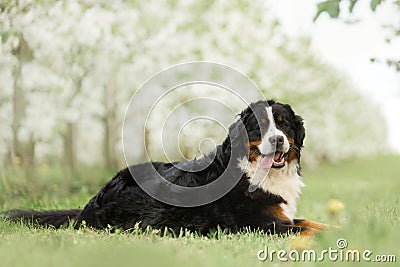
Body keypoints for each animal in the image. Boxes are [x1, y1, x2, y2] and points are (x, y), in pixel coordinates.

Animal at [2, 100, 328, 237]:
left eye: (283, 124)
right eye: (259, 126)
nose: (277, 140)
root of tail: (93, 201)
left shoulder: (281, 215)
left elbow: (313, 222)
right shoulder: (262, 223)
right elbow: (309, 228)